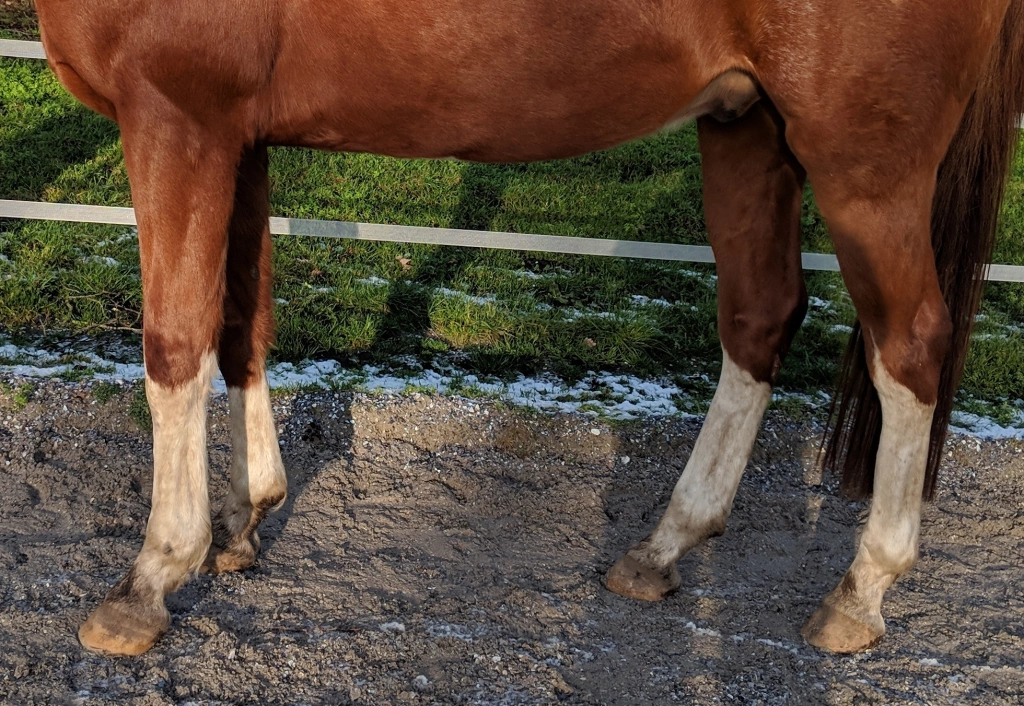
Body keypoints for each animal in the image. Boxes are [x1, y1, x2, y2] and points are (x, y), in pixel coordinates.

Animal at [32, 0, 1024, 657]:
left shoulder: (177, 115)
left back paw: (861, 592)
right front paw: (244, 524)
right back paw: (663, 547)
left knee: (911, 346)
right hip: (749, 126)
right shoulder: (236, 132)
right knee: (759, 317)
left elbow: (174, 344)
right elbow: (242, 325)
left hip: (866, 165)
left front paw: (153, 576)